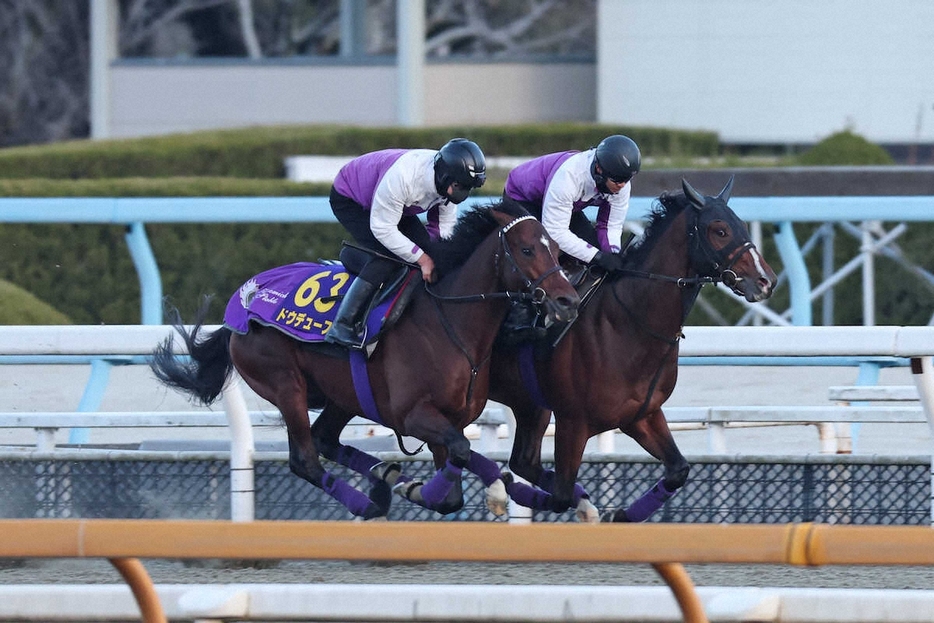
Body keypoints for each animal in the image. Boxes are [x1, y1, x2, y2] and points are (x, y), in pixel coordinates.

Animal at [152, 201, 576, 520]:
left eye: (556, 251)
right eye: (527, 250)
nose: (567, 300)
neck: (449, 319)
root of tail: (242, 303)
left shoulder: (449, 419)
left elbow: (455, 479)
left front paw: (421, 486)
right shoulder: (412, 415)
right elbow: (459, 456)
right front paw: (443, 490)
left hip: (343, 394)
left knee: (324, 438)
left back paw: (382, 473)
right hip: (284, 383)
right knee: (305, 460)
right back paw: (369, 500)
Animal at [486, 179, 780, 520]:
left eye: (742, 225)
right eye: (719, 230)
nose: (766, 280)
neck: (625, 322)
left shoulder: (641, 415)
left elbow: (678, 470)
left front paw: (619, 515)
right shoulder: (573, 423)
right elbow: (561, 494)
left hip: (530, 405)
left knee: (522, 461)